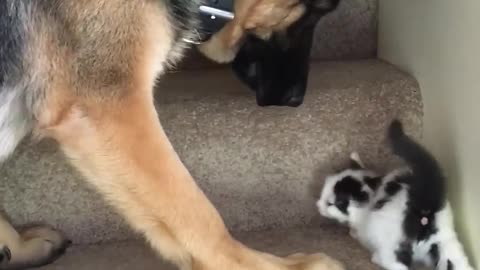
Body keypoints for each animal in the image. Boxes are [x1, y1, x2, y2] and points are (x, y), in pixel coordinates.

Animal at [316, 119, 474, 270]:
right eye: (323, 194)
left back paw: (377, 259)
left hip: (391, 243)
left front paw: (353, 232)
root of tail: (425, 204)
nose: (318, 205)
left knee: (399, 265)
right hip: (445, 241)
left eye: (332, 203)